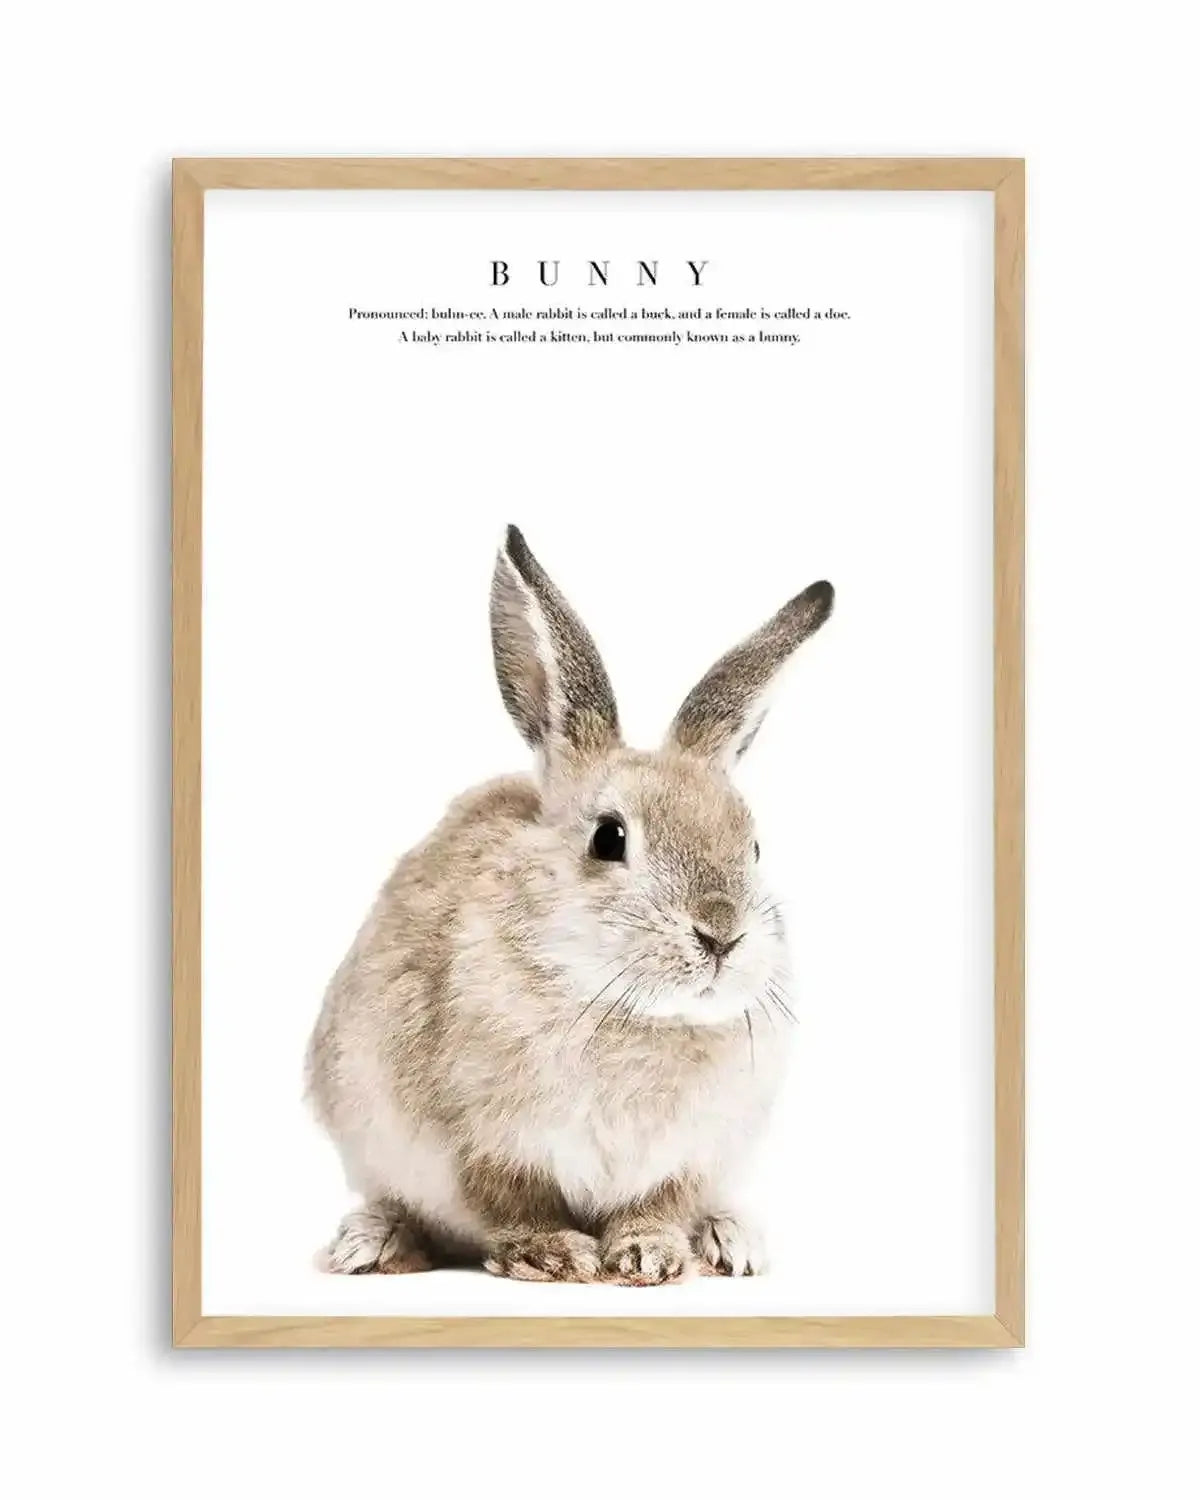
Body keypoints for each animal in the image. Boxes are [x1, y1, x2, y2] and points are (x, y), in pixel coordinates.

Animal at [305, 525, 833, 1285]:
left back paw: (731, 1242)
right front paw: (555, 1254)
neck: (629, 1011)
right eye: (610, 838)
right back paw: (371, 1244)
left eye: (754, 847)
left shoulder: (688, 1158)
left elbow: (659, 1206)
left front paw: (650, 1256)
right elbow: (513, 1205)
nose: (721, 935)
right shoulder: (481, 1145)